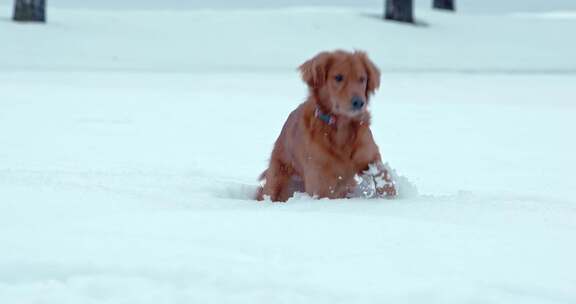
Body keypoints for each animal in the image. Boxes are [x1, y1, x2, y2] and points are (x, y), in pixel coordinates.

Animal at [256, 50, 396, 202]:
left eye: (362, 79)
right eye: (338, 77)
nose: (359, 102)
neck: (341, 128)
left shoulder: (368, 154)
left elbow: (383, 173)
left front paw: (391, 197)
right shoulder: (320, 179)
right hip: (276, 179)